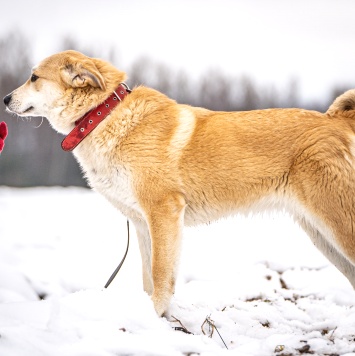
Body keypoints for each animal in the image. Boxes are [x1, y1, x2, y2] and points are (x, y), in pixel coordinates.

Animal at [2, 50, 355, 314]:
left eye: (34, 77)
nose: (5, 99)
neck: (104, 115)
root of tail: (337, 121)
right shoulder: (143, 223)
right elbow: (148, 277)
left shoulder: (164, 213)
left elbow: (161, 275)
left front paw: (156, 315)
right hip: (322, 234)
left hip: (338, 226)